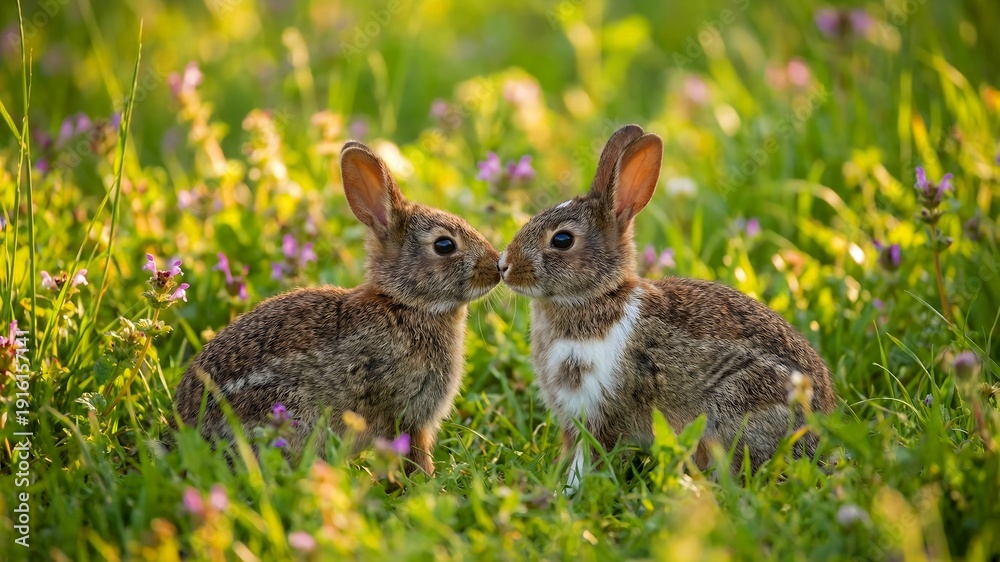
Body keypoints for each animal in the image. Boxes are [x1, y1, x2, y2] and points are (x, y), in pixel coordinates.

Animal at [174, 140, 501, 475]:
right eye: (444, 245)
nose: (497, 267)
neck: (405, 304)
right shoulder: (407, 413)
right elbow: (415, 454)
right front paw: (428, 480)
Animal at [498, 125, 836, 492]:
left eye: (562, 240)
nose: (504, 266)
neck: (599, 296)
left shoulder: (601, 411)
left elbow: (590, 456)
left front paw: (571, 490)